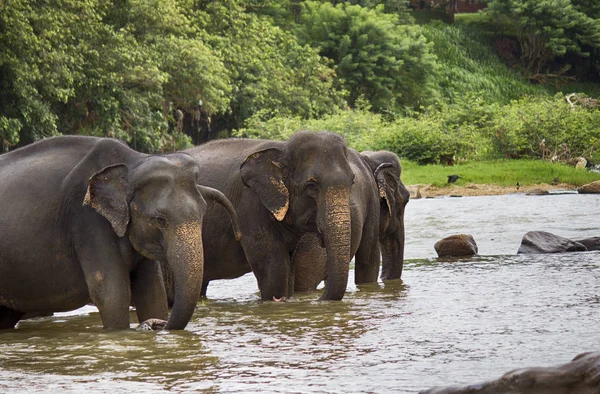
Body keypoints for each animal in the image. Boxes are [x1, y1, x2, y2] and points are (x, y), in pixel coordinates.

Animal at [0, 135, 239, 330]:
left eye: (203, 213)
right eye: (159, 220)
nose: (157, 325)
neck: (133, 163)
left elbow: (152, 292)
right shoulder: (87, 220)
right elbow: (112, 293)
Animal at [164, 131, 358, 300]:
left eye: (352, 181)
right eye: (311, 186)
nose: (318, 299)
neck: (282, 148)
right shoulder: (249, 204)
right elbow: (274, 268)